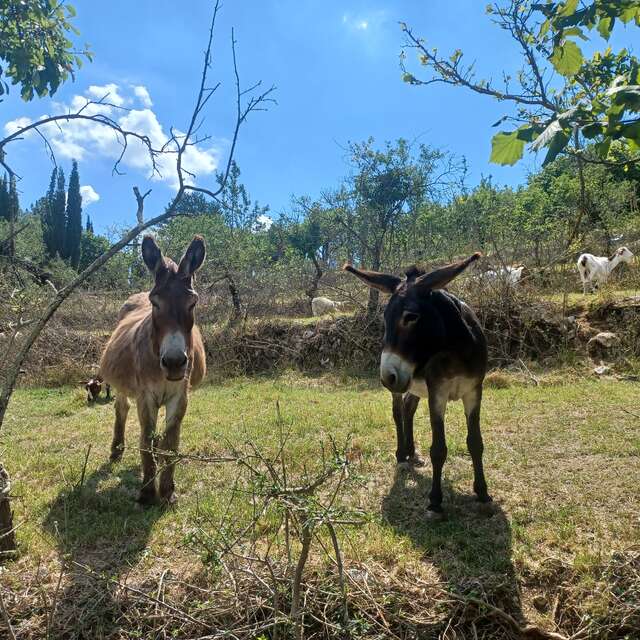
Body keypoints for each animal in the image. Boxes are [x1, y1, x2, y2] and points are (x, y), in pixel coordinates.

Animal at [99, 235, 208, 504]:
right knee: (121, 409)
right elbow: (146, 441)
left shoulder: (180, 396)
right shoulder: (145, 396)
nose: (174, 362)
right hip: (123, 387)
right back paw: (116, 450)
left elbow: (170, 442)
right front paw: (148, 492)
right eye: (154, 302)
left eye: (193, 303)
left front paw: (167, 490)